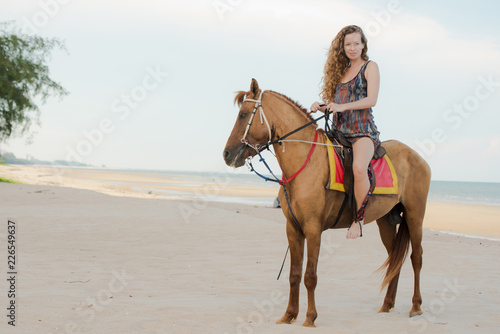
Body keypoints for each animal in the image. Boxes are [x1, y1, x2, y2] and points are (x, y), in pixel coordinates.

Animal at [223, 78, 430, 326]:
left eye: (243, 114)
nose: (226, 154)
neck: (305, 162)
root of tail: (417, 157)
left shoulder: (313, 229)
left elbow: (310, 275)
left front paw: (310, 318)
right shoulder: (293, 229)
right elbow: (294, 274)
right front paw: (289, 315)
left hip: (415, 215)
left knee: (416, 258)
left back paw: (416, 306)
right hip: (386, 222)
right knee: (394, 260)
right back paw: (386, 305)